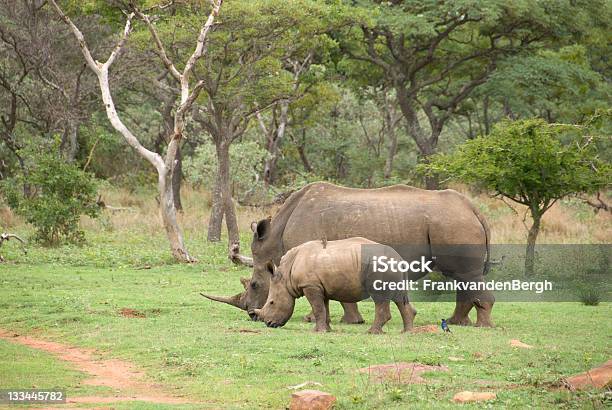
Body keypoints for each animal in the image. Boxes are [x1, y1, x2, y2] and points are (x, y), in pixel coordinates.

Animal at [253, 237, 416, 334]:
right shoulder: (320, 286)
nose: (269, 323)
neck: (286, 275)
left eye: (272, 302)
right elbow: (324, 308)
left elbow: (318, 308)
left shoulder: (310, 285)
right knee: (399, 297)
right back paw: (407, 332)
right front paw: (326, 330)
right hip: (389, 266)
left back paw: (371, 332)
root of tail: (398, 257)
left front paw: (317, 332)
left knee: (380, 298)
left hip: (380, 266)